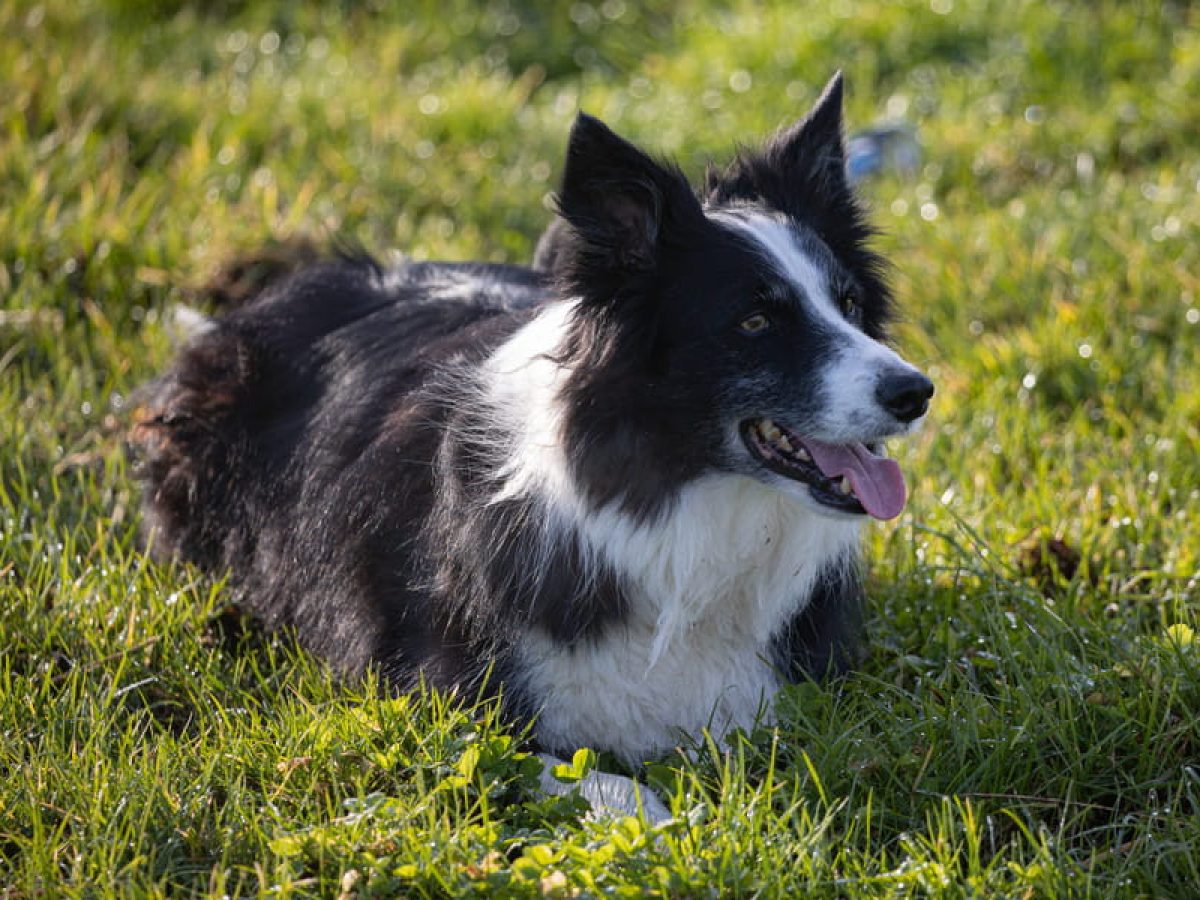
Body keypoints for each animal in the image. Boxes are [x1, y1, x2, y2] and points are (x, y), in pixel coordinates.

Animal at [136, 74, 931, 820]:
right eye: (756, 321)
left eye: (851, 304)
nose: (916, 392)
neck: (674, 498)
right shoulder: (439, 702)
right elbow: (597, 779)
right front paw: (670, 820)